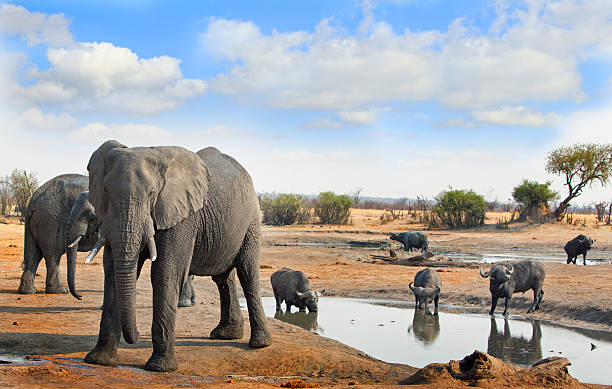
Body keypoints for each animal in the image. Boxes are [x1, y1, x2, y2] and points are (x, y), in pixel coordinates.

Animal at [85, 141, 272, 372]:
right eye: (106, 190)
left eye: (151, 193)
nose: (136, 336)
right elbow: (112, 272)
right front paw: (98, 360)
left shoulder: (182, 215)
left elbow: (165, 272)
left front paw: (159, 368)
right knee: (223, 278)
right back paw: (225, 335)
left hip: (252, 219)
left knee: (247, 272)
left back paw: (259, 344)